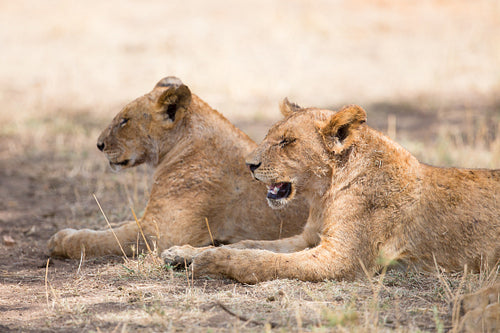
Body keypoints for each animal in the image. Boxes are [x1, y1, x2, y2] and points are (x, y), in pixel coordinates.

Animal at [47, 78, 306, 260]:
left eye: (125, 121)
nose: (99, 145)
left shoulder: (158, 233)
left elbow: (97, 240)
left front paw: (59, 240)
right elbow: (111, 227)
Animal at [164, 100, 500, 282]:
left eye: (287, 142)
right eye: (270, 136)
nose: (249, 164)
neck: (323, 194)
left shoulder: (342, 258)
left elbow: (264, 260)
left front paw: (208, 261)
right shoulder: (308, 238)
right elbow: (250, 244)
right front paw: (184, 252)